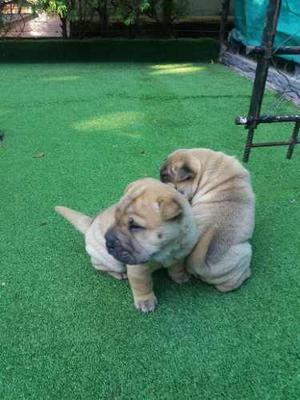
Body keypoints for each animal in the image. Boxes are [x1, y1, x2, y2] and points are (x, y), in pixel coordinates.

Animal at [104, 178, 198, 312]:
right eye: (115, 218)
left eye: (135, 226)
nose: (108, 241)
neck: (167, 249)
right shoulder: (138, 268)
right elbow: (142, 284)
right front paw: (145, 301)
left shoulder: (180, 253)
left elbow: (177, 266)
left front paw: (180, 276)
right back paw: (119, 274)